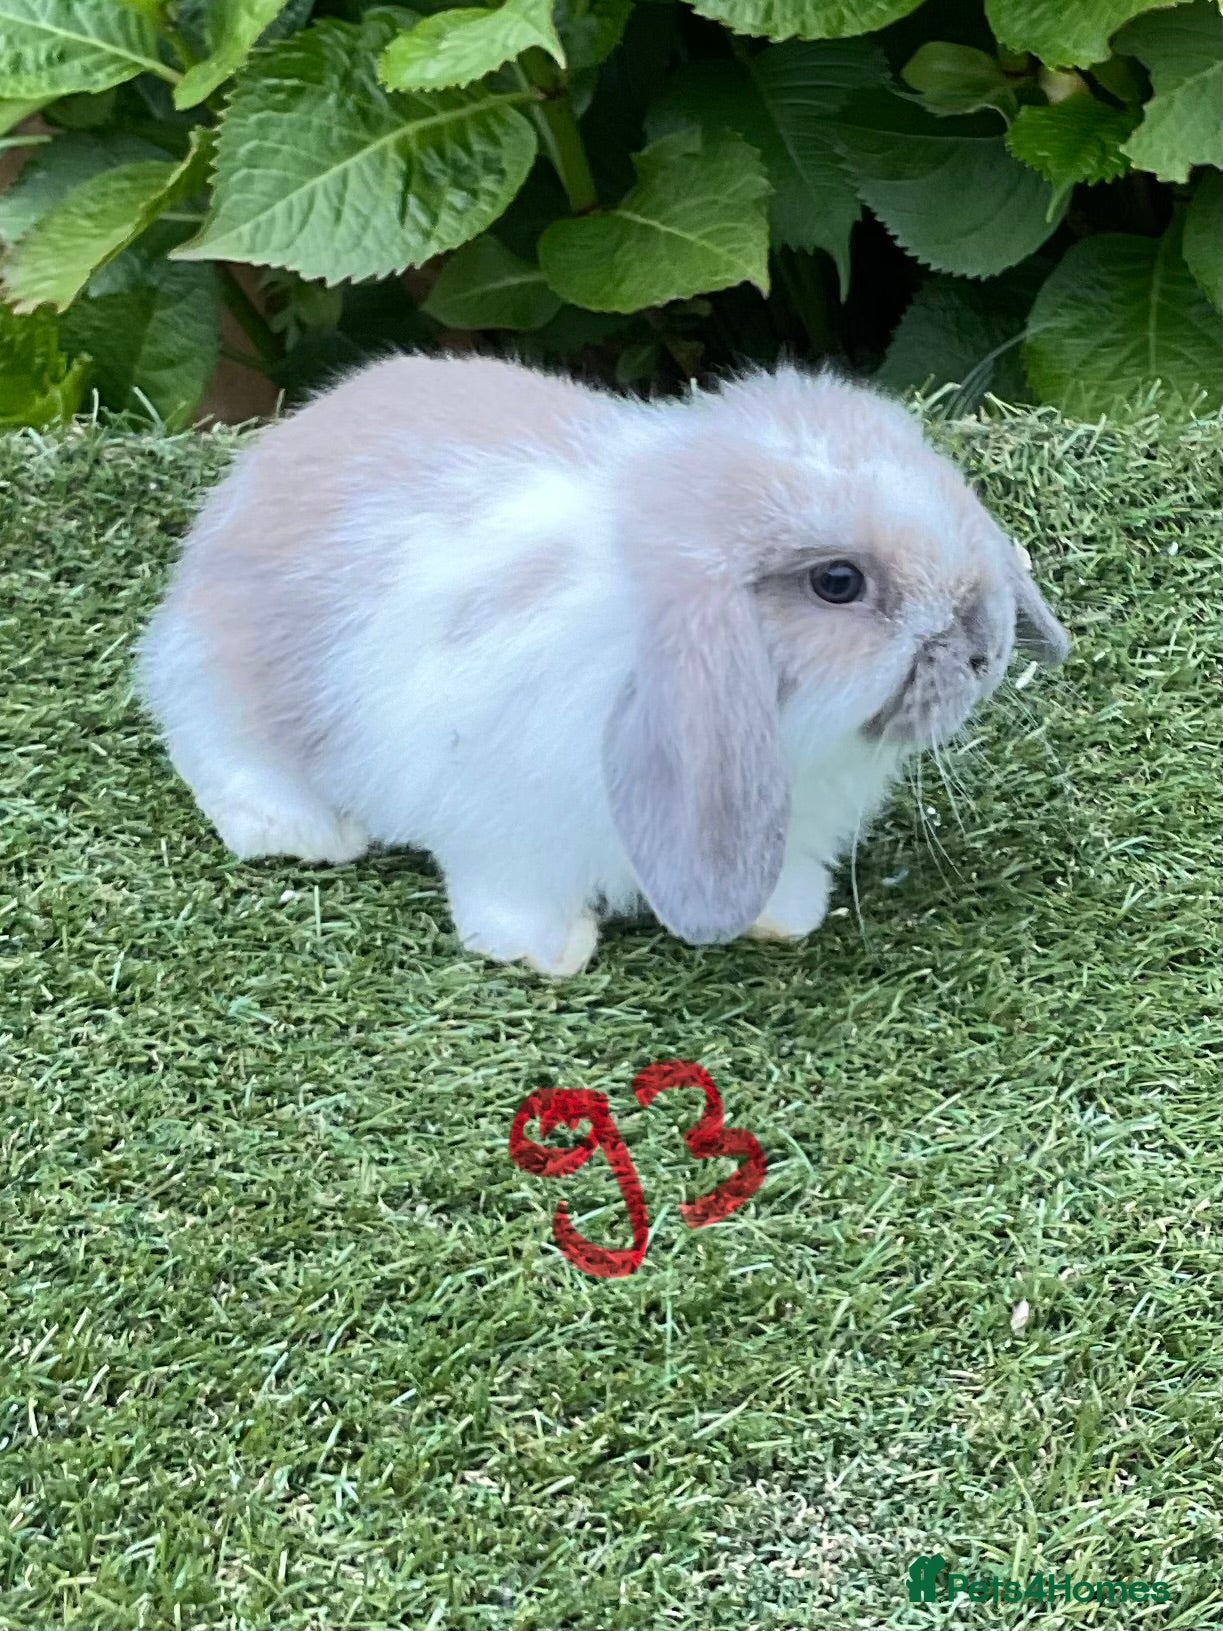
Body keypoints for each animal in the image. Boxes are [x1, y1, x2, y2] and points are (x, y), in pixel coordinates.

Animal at [136, 354, 1069, 976]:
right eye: (837, 583)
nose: (985, 652)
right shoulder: (502, 819)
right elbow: (513, 891)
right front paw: (550, 951)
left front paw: (787, 916)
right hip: (225, 692)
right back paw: (306, 832)